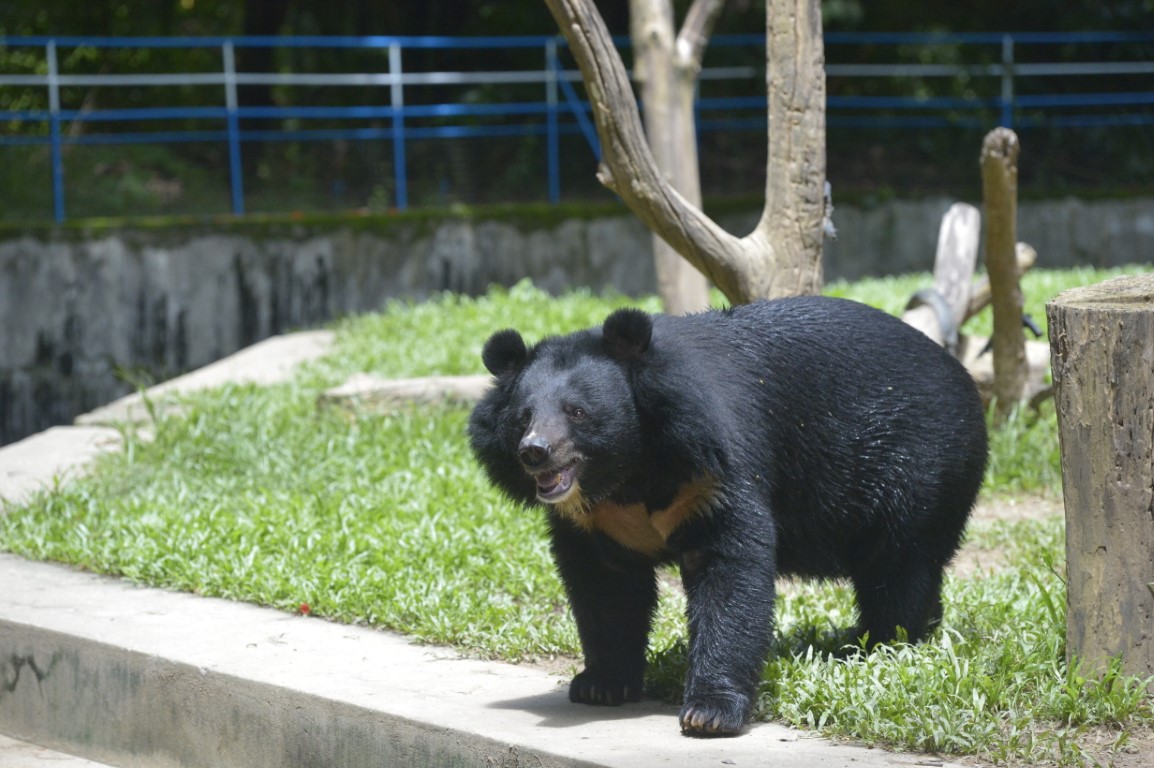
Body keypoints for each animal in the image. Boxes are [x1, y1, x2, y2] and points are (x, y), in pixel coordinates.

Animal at [467, 296, 988, 737]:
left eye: (577, 412)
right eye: (522, 416)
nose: (535, 452)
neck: (630, 471)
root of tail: (962, 374)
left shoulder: (711, 466)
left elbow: (729, 569)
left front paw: (709, 712)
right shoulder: (596, 520)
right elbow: (605, 587)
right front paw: (601, 683)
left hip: (917, 463)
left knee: (900, 566)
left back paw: (884, 641)